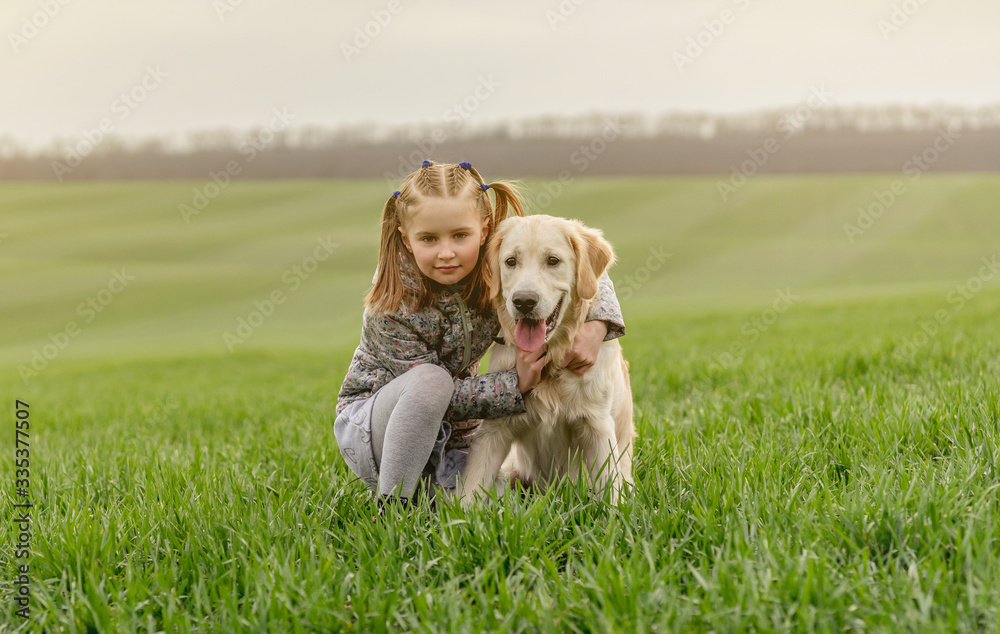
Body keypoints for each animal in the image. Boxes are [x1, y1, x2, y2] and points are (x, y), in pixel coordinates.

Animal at [458, 214, 636, 504]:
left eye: (553, 260)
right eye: (511, 261)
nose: (524, 301)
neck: (551, 361)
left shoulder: (597, 425)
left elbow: (610, 493)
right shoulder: (494, 428)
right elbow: (470, 488)